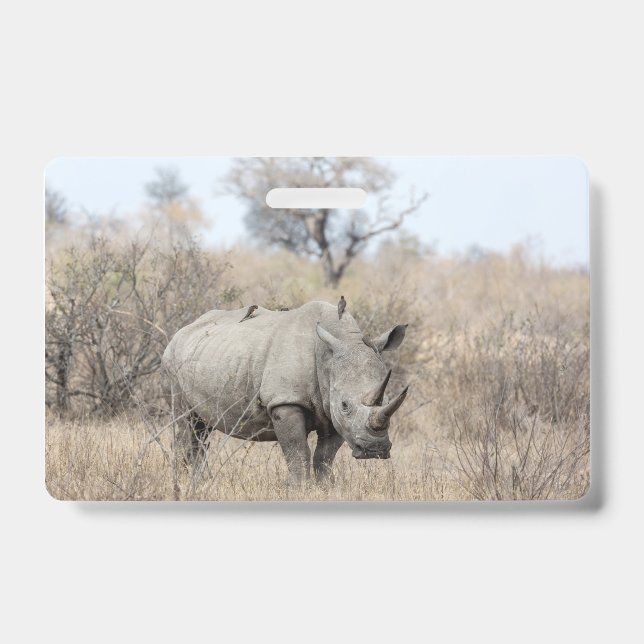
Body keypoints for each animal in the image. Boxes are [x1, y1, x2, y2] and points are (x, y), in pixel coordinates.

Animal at [162, 301, 409, 484]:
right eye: (345, 405)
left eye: (388, 399)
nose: (374, 450)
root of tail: (182, 331)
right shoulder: (285, 402)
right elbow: (297, 452)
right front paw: (299, 488)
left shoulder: (331, 410)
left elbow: (324, 457)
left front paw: (325, 487)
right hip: (172, 362)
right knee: (187, 423)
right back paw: (185, 483)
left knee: (201, 429)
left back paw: (197, 483)